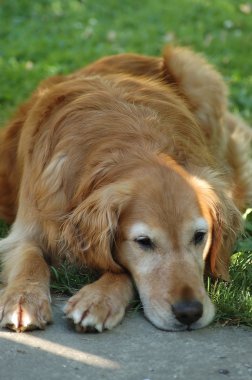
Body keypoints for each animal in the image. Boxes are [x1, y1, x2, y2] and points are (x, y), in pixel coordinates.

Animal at [0, 45, 251, 332]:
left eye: (200, 236)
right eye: (143, 242)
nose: (189, 312)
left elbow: (120, 269)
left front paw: (98, 298)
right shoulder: (25, 231)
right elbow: (30, 261)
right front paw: (23, 299)